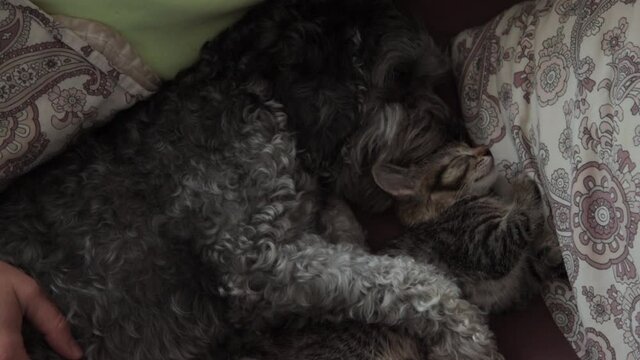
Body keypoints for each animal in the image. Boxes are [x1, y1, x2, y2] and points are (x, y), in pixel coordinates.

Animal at [1, 0, 500, 358]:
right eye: (399, 77)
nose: (455, 129)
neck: (258, 95)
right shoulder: (255, 259)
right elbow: (404, 279)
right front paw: (464, 334)